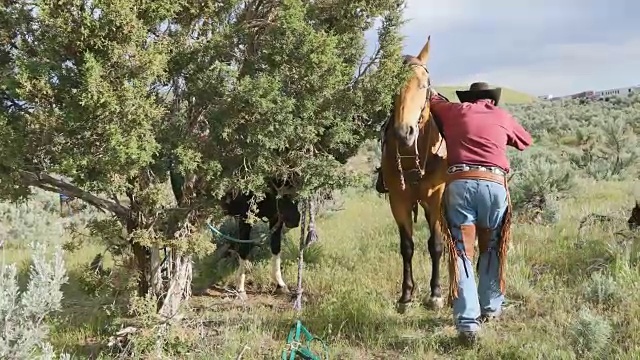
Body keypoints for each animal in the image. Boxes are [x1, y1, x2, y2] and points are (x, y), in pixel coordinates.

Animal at [378, 37, 448, 312]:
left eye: (423, 84)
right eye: (391, 86)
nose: (403, 132)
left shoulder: (435, 199)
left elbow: (436, 245)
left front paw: (436, 293)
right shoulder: (398, 201)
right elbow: (407, 247)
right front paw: (406, 295)